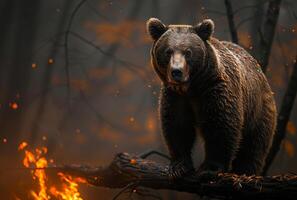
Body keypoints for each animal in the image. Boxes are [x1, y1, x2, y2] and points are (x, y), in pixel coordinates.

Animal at [147, 18, 276, 178]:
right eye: (168, 51)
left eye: (188, 52)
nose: (176, 71)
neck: (192, 88)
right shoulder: (175, 96)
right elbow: (177, 126)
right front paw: (179, 167)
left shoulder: (215, 90)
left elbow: (220, 126)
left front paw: (210, 168)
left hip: (258, 111)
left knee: (253, 147)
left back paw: (245, 171)